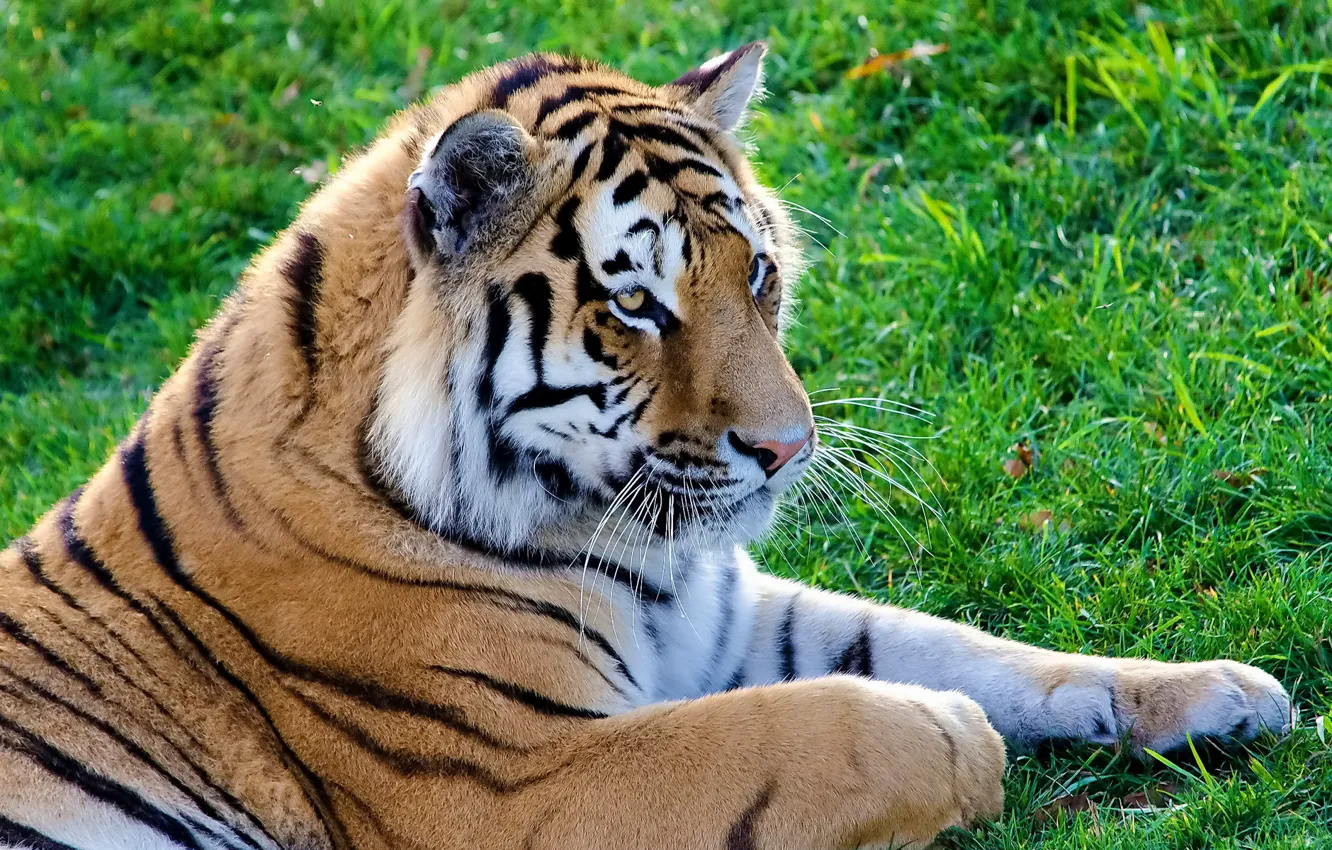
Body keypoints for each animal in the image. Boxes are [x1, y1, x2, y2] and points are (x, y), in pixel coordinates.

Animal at [0, 42, 1293, 850]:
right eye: (637, 305)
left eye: (757, 273)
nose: (788, 448)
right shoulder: (501, 783)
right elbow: (826, 721)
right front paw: (951, 738)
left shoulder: (722, 616)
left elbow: (968, 646)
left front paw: (1219, 689)